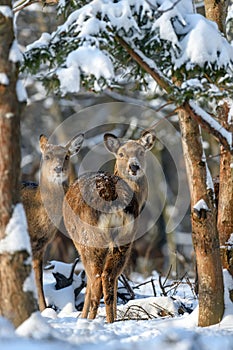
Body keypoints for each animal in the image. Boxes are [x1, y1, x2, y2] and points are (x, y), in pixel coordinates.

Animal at [21, 133, 84, 310]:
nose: (58, 168)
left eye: (67, 156)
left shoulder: (40, 247)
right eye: (47, 156)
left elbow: (38, 280)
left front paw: (44, 309)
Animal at [62, 130, 156, 322]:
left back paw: (92, 319)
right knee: (110, 276)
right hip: (125, 238)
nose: (134, 166)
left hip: (91, 239)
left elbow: (89, 282)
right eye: (121, 154)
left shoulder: (79, 246)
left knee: (98, 278)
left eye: (141, 152)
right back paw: (111, 320)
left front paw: (82, 315)